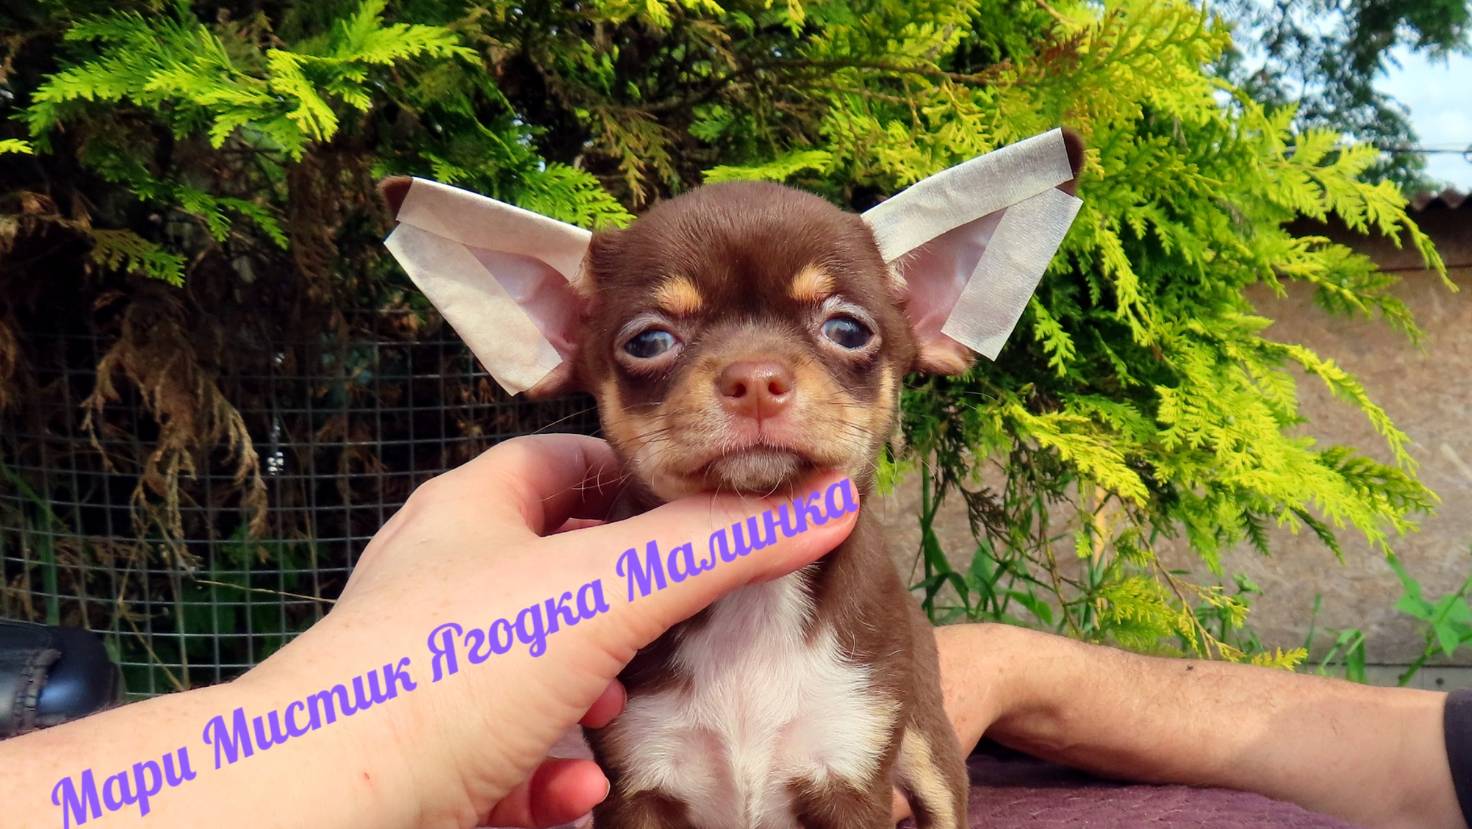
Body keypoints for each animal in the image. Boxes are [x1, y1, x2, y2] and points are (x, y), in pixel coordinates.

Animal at [379, 129, 1083, 828]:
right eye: (648, 342)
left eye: (848, 329)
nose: (756, 378)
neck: (754, 601)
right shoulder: (637, 786)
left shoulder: (853, 773)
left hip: (926, 746)